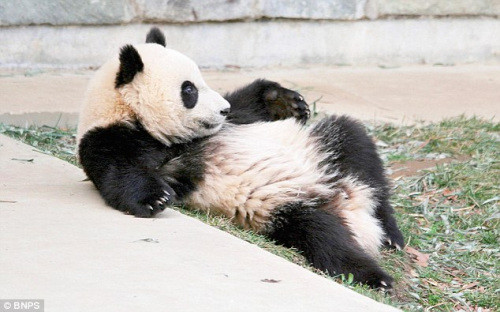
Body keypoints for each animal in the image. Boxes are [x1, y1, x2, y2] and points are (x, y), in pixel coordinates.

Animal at [79, 27, 406, 290]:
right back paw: (373, 275)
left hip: (321, 147)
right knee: (323, 237)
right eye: (189, 90)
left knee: (357, 148)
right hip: (286, 208)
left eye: (201, 81)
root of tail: (347, 202)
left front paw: (287, 101)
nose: (221, 109)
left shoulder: (232, 120)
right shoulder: (111, 136)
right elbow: (118, 169)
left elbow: (247, 104)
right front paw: (155, 198)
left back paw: (390, 233)